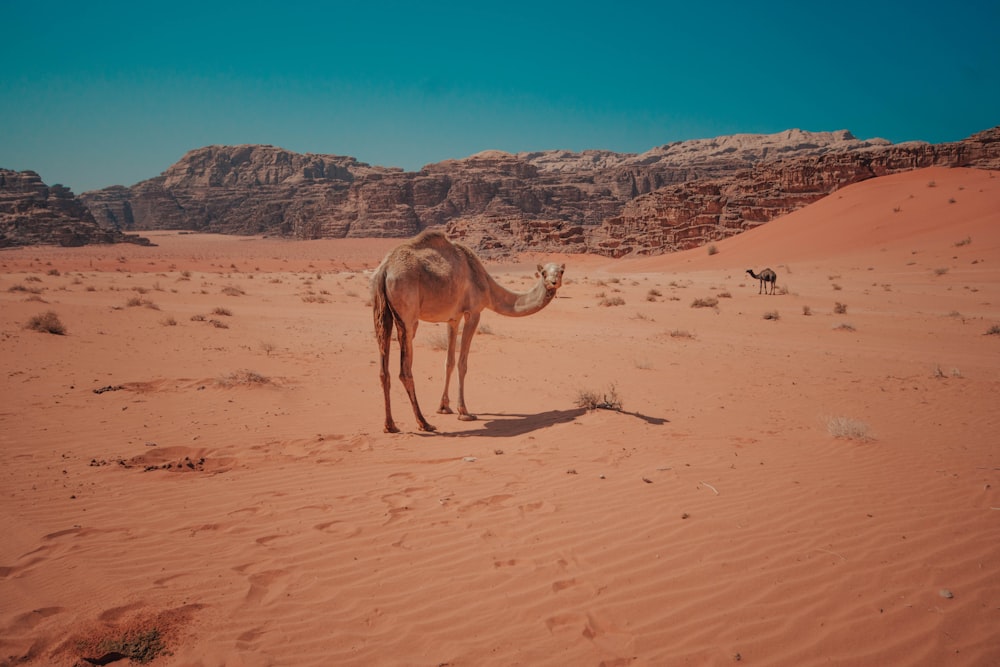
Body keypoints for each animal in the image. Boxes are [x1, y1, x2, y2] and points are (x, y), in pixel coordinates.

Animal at [374, 230, 568, 436]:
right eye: (543, 273)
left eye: (561, 271)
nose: (553, 282)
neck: (488, 287)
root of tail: (385, 269)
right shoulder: (473, 312)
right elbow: (462, 363)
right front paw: (464, 411)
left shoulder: (453, 318)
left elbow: (449, 362)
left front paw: (444, 407)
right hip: (407, 313)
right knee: (405, 369)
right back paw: (424, 423)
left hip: (383, 314)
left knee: (383, 369)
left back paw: (390, 425)